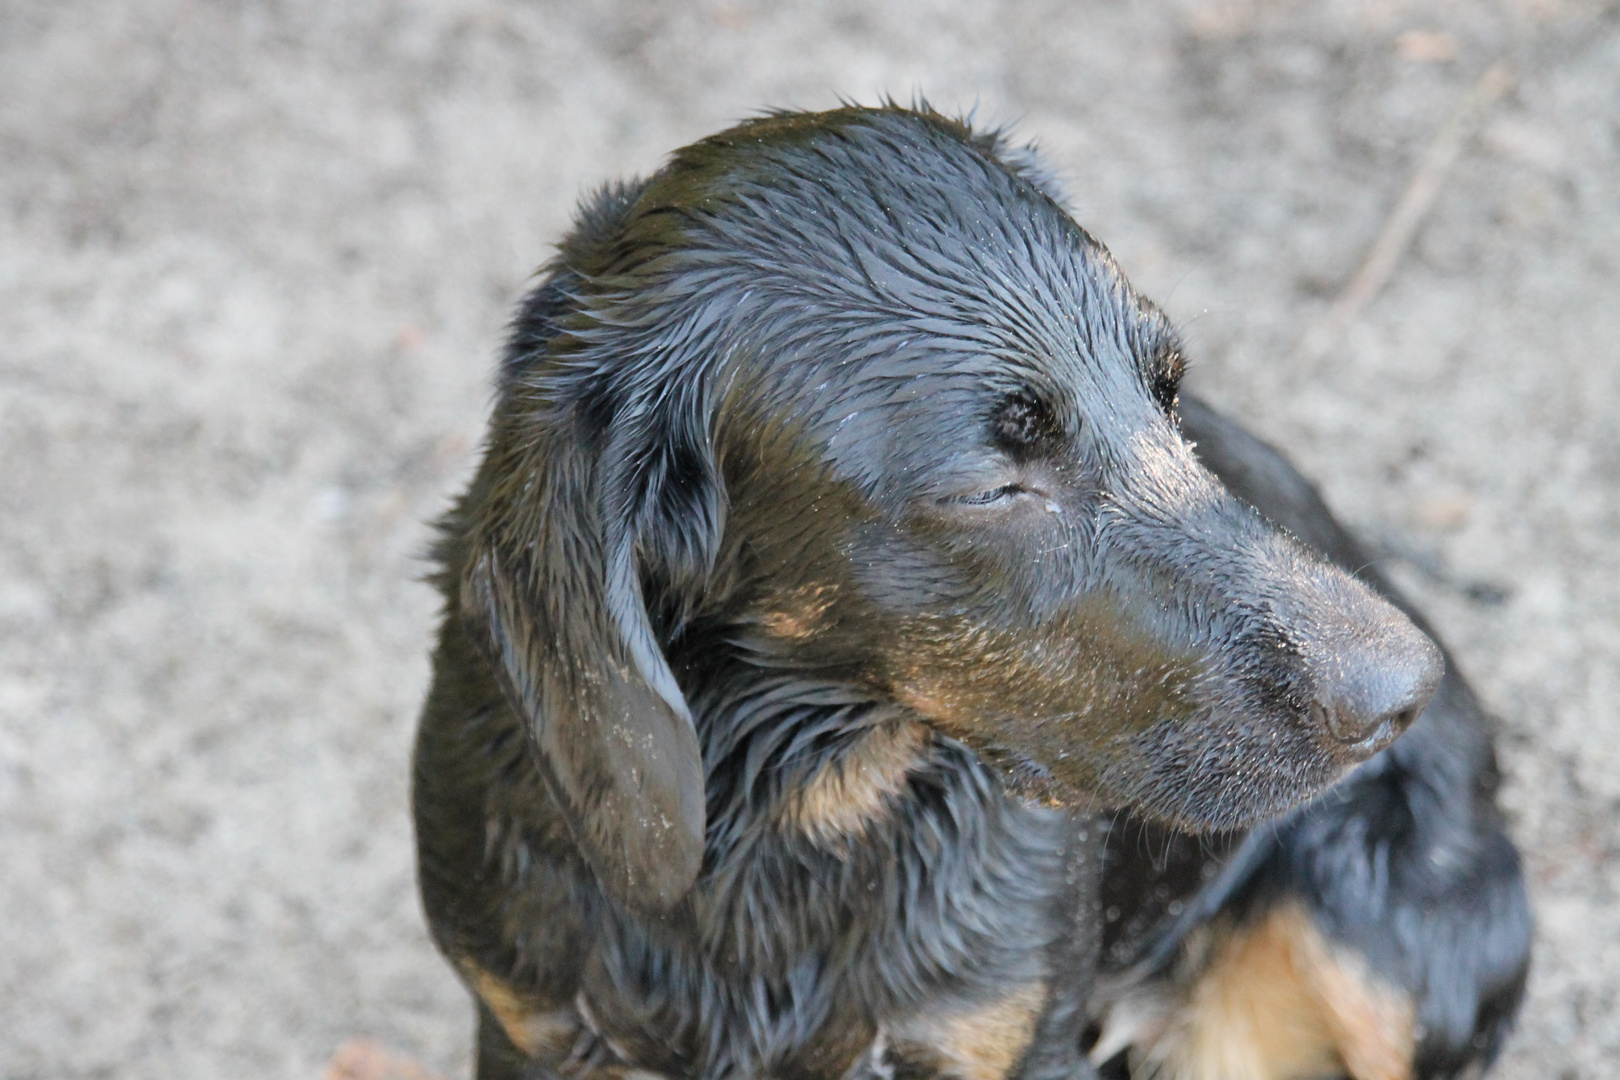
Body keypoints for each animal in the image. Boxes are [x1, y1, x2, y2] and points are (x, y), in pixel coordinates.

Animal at [417, 103, 1529, 1080]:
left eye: (1170, 391)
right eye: (993, 487)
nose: (1405, 692)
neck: (791, 809)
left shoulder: (1007, 1033)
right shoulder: (528, 1024)